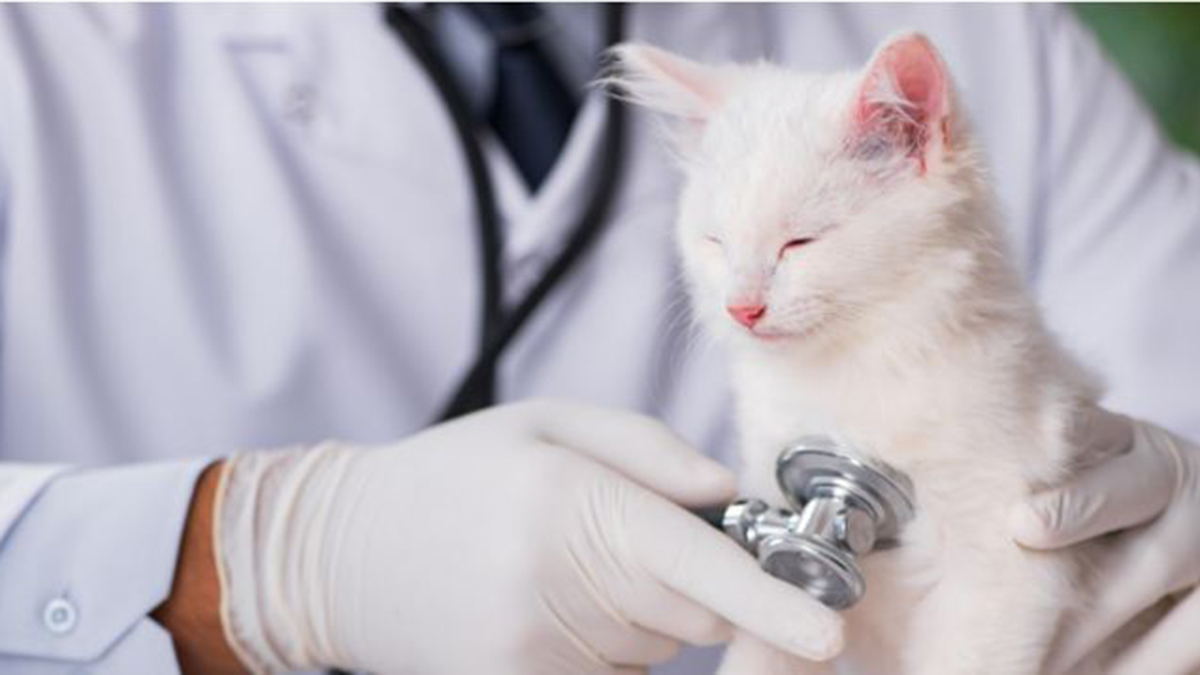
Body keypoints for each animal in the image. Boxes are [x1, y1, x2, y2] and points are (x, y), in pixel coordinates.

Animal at [609, 32, 1113, 672]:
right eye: (716, 243)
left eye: (800, 243)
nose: (741, 308)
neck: (852, 368)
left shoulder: (1004, 557)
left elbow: (966, 653)